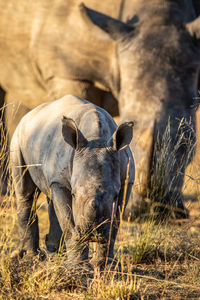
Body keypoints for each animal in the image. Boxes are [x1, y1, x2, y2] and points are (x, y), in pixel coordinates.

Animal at [9, 95, 134, 266]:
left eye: (115, 196)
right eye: (74, 194)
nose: (92, 233)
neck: (96, 138)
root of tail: (30, 113)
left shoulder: (127, 180)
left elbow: (115, 223)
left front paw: (104, 264)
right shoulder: (60, 181)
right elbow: (68, 221)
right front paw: (77, 266)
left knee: (50, 194)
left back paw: (55, 252)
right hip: (18, 137)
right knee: (26, 192)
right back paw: (32, 257)